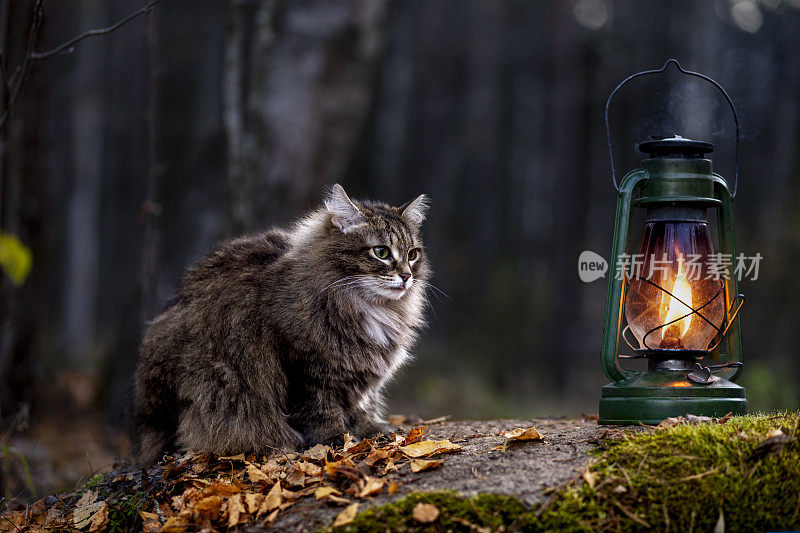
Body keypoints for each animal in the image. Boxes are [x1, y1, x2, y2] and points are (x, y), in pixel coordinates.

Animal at [133, 185, 432, 464]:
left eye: (412, 254)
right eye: (381, 252)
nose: (406, 275)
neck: (372, 308)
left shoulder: (360, 373)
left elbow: (364, 404)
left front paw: (371, 430)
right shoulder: (303, 368)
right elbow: (320, 411)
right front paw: (335, 440)